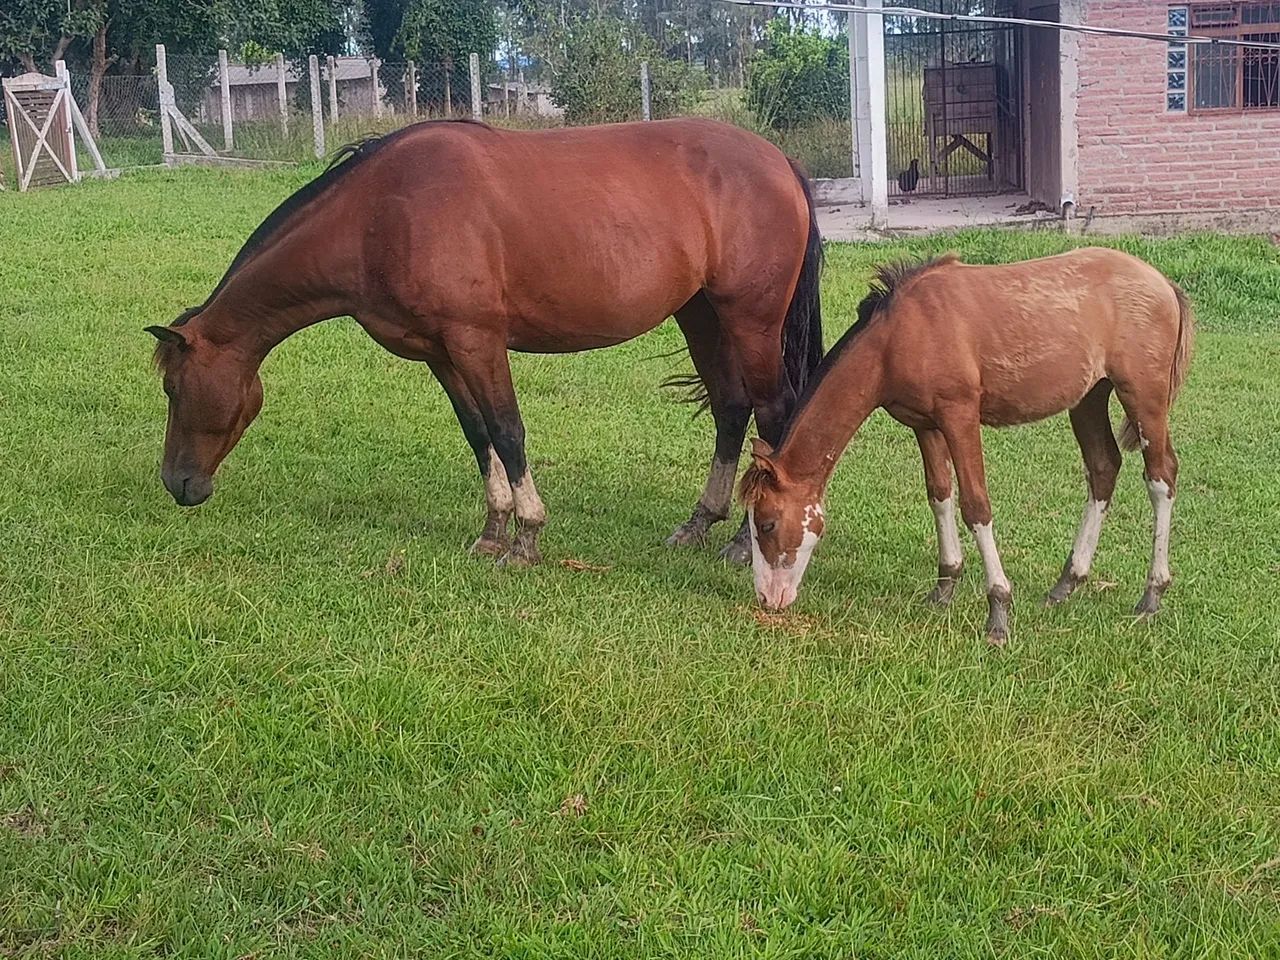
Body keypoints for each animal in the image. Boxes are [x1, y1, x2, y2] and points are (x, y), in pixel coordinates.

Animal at [146, 118, 823, 566]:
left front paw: (526, 537)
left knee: (773, 413)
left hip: (750, 321)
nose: (177, 483)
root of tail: (779, 162)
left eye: (174, 388)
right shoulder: (441, 353)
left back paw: (744, 543)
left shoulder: (478, 342)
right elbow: (478, 435)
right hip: (701, 315)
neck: (381, 213)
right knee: (732, 410)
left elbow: (507, 429)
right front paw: (494, 528)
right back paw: (700, 523)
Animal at [738, 248, 1194, 645]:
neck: (901, 335)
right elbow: (940, 495)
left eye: (767, 524)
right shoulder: (925, 425)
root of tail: (1165, 285)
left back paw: (1152, 594)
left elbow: (976, 506)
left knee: (1161, 476)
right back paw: (1066, 583)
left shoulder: (960, 417)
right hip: (1088, 397)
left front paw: (998, 613)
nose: (768, 598)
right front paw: (944, 587)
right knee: (1103, 468)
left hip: (1143, 398)